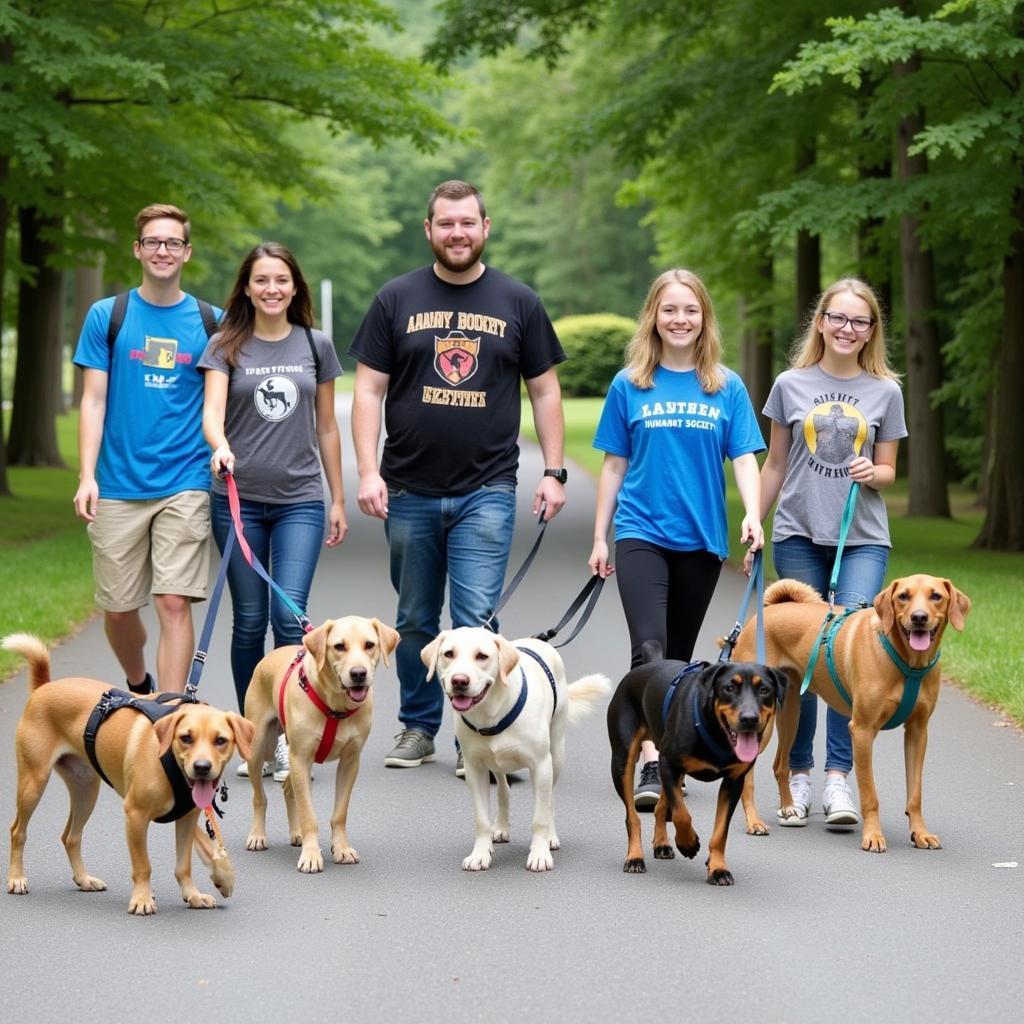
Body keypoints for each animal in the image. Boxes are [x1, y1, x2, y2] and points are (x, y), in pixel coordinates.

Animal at [3, 634, 253, 917]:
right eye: (186, 738)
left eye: (220, 740)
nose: (202, 767)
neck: (170, 763)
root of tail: (43, 687)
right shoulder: (135, 815)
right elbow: (143, 865)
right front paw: (142, 898)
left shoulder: (187, 817)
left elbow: (185, 864)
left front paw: (198, 892)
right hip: (33, 783)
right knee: (17, 831)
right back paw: (17, 878)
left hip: (86, 789)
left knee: (70, 837)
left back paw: (84, 879)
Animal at [241, 614, 397, 872]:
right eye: (339, 646)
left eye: (369, 645)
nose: (358, 673)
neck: (336, 708)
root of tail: (271, 655)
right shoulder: (300, 758)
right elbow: (308, 815)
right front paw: (311, 855)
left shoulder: (349, 762)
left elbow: (339, 813)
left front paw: (341, 848)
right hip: (258, 748)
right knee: (259, 798)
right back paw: (257, 835)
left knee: (288, 790)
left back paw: (296, 834)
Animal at [421, 622, 606, 872]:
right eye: (448, 654)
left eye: (482, 656)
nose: (459, 681)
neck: (492, 714)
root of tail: (538, 640)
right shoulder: (474, 769)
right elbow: (481, 819)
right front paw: (481, 853)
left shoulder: (541, 765)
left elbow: (540, 816)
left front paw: (540, 854)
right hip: (496, 764)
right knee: (503, 790)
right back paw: (500, 826)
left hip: (556, 753)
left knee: (550, 800)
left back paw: (550, 836)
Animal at [602, 651, 786, 884]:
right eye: (729, 688)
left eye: (764, 690)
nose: (749, 719)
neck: (717, 732)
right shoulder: (669, 763)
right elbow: (681, 814)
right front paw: (688, 843)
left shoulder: (733, 782)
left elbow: (720, 831)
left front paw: (717, 868)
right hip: (623, 761)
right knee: (632, 817)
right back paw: (635, 857)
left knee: (660, 807)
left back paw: (662, 844)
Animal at [737, 577, 966, 856]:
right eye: (903, 596)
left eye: (936, 596)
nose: (919, 618)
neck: (909, 663)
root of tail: (766, 613)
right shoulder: (863, 731)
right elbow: (870, 795)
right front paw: (873, 836)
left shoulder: (917, 732)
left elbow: (915, 794)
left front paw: (920, 833)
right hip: (761, 724)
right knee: (746, 773)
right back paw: (753, 821)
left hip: (791, 714)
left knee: (780, 765)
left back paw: (790, 808)